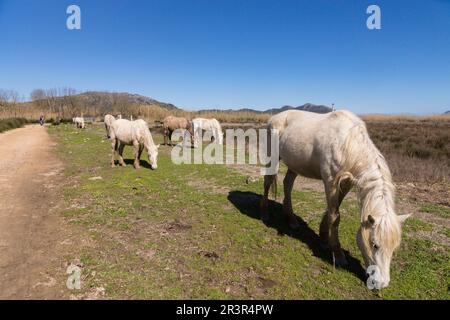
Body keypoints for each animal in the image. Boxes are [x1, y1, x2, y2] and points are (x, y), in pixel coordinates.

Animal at [260, 110, 412, 290]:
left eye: (394, 247)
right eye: (375, 244)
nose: (381, 283)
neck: (347, 143)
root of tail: (274, 118)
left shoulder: (345, 183)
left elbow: (333, 211)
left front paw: (324, 237)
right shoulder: (330, 181)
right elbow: (335, 216)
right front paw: (338, 255)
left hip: (294, 164)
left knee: (288, 184)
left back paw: (291, 220)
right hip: (272, 158)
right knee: (268, 182)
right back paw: (264, 213)